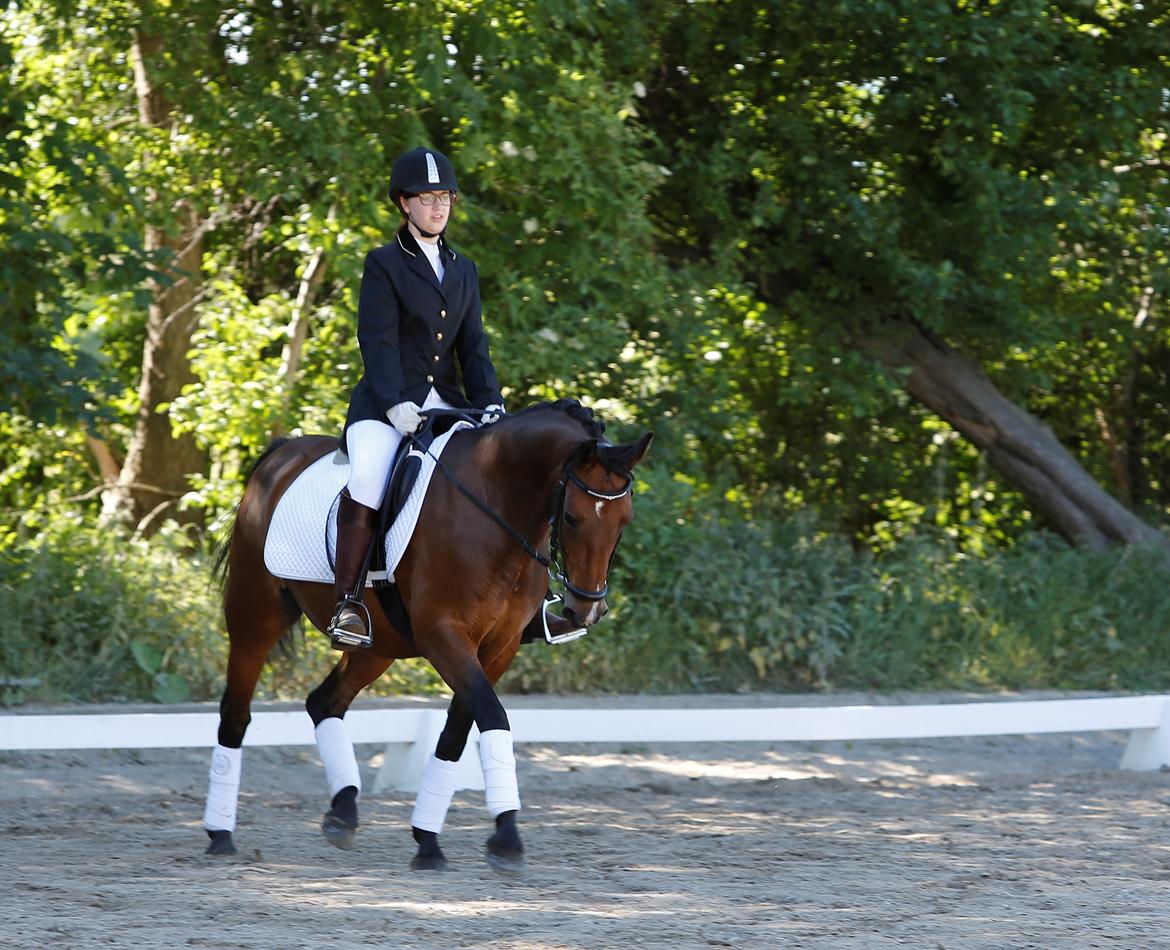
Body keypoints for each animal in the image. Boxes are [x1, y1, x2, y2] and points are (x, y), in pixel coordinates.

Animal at [204, 397, 655, 870]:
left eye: (625, 519)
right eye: (570, 516)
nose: (587, 609)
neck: (495, 504)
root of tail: (283, 454)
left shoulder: (499, 647)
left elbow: (459, 730)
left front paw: (428, 839)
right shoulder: (444, 636)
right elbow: (492, 716)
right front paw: (507, 837)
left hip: (377, 646)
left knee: (324, 702)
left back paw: (343, 812)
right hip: (256, 617)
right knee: (236, 712)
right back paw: (220, 833)